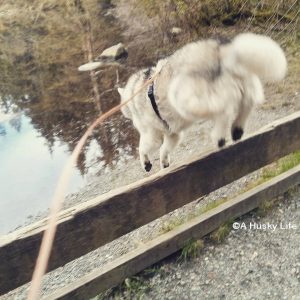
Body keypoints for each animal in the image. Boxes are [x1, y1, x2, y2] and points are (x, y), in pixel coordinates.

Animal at [117, 32, 286, 171]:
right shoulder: (173, 134)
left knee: (224, 111)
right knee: (248, 102)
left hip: (186, 99)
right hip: (244, 83)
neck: (135, 91)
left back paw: (219, 137)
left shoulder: (151, 134)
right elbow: (165, 148)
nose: (126, 116)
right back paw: (237, 129)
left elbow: (143, 148)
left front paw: (146, 163)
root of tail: (217, 51)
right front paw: (164, 162)